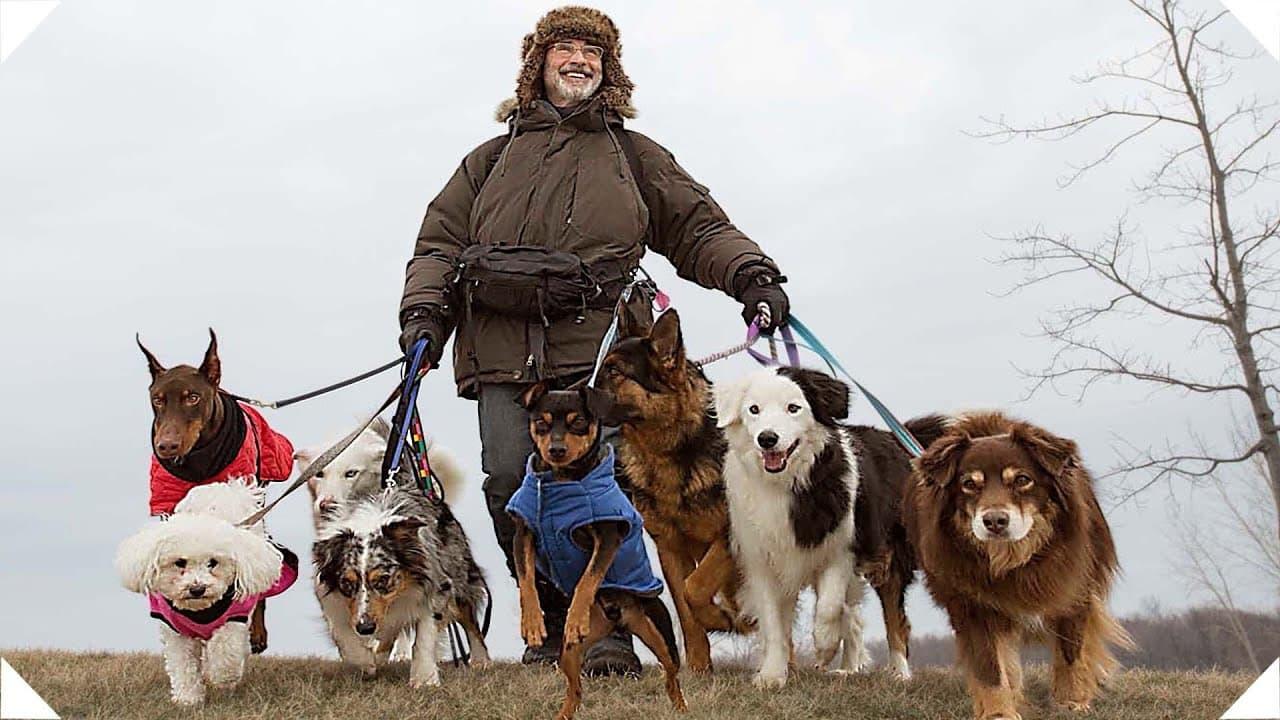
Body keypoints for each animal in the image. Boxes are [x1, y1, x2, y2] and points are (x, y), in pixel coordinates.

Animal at [113, 476, 295, 702]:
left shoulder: (235, 617)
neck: (200, 609)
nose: (197, 588)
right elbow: (183, 664)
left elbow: (225, 650)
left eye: (213, 563)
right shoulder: (175, 630)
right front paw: (187, 699)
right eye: (180, 563)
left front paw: (222, 678)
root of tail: (228, 488)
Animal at [506, 381, 691, 717]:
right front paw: (533, 624)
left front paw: (575, 617)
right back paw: (563, 714)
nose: (556, 449)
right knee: (575, 687)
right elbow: (527, 580)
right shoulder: (523, 533)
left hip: (659, 631)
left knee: (672, 676)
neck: (560, 481)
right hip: (569, 652)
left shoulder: (607, 537)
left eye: (579, 421)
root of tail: (617, 618)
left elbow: (588, 579)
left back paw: (681, 708)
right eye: (541, 422)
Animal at [906, 409, 1136, 717]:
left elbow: (1071, 653)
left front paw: (1071, 702)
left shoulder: (1074, 589)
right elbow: (990, 666)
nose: (994, 521)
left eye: (1022, 479)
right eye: (969, 484)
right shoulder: (971, 604)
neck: (1014, 559)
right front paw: (999, 712)